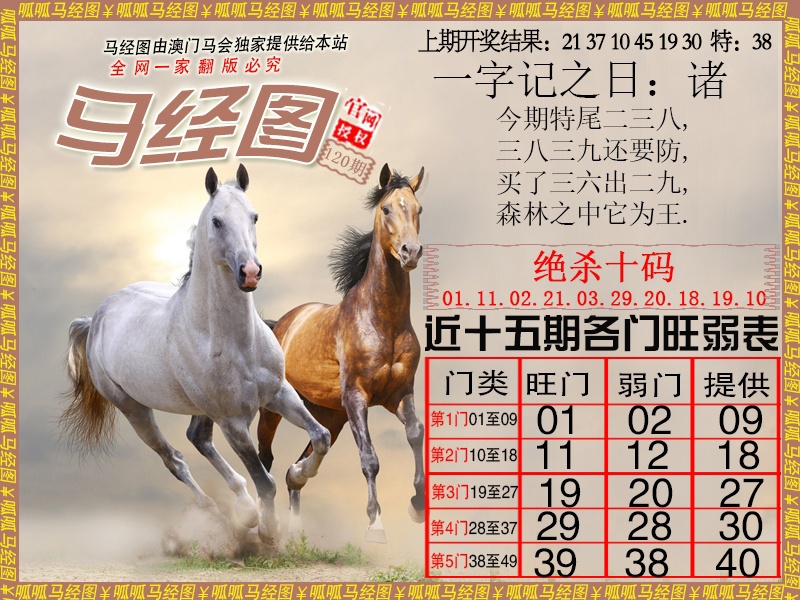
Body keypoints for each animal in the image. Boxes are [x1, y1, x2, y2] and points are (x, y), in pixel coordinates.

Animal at [62, 165, 331, 546]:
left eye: (254, 216)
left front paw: (297, 474)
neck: (235, 341)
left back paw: (242, 510)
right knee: (174, 459)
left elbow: (320, 437)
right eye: (217, 221)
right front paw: (268, 531)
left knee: (197, 439)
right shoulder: (233, 421)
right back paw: (224, 515)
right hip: (134, 409)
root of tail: (96, 318)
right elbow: (265, 480)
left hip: (201, 409)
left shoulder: (279, 393)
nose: (250, 272)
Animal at [255, 163, 426, 543]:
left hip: (329, 414)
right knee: (265, 458)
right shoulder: (357, 398)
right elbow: (370, 458)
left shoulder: (399, 395)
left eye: (418, 209)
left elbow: (415, 434)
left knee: (297, 466)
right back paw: (265, 525)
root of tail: (279, 324)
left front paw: (417, 505)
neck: (383, 322)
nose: (410, 252)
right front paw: (375, 525)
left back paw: (297, 509)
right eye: (386, 209)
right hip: (275, 409)